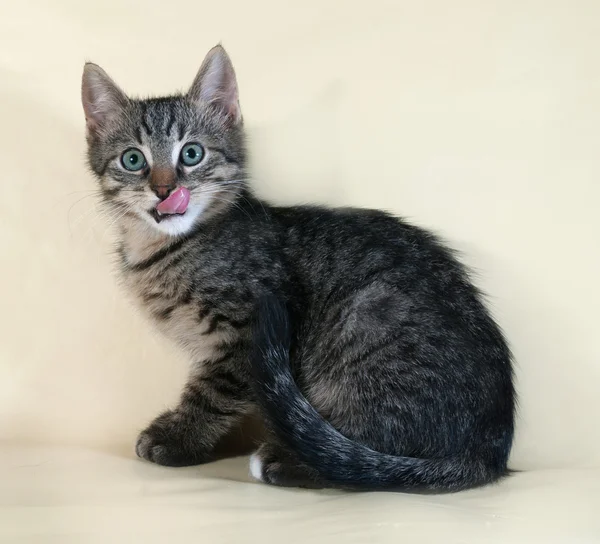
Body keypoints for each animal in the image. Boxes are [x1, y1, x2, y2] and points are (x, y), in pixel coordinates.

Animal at [81, 44, 516, 490]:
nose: (164, 189)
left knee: (361, 460)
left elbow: (214, 392)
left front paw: (180, 437)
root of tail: (489, 449)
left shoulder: (249, 329)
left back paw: (289, 460)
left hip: (369, 319)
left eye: (191, 153)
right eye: (133, 159)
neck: (163, 249)